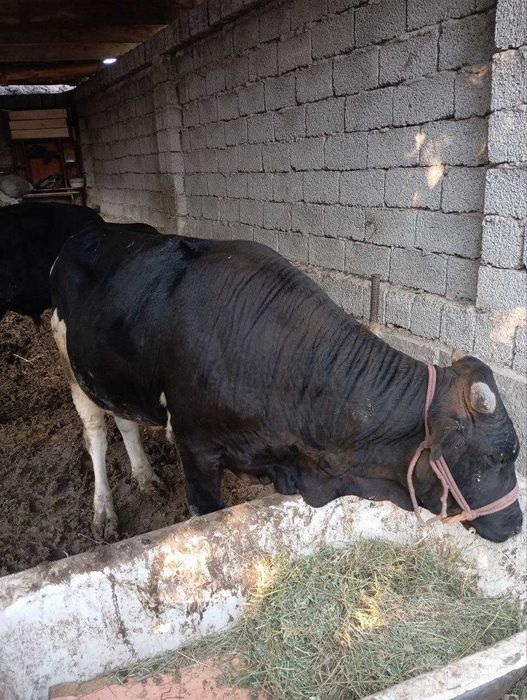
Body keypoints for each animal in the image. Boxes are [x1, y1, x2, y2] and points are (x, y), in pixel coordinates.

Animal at [50, 223, 523, 543]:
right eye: (496, 457)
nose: (517, 523)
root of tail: (91, 232)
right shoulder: (194, 448)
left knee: (125, 420)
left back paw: (145, 477)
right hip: (73, 367)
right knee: (96, 434)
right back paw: (104, 513)